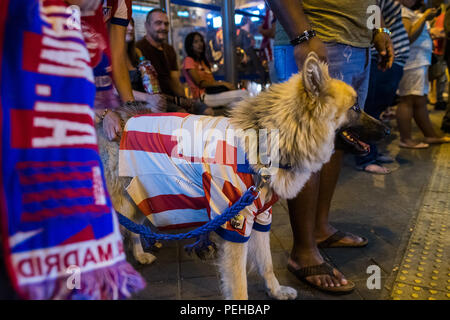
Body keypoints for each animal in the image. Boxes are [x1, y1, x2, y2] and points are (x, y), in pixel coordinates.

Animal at [96, 52, 388, 300]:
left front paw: (275, 290)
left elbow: (267, 264)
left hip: (139, 196)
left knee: (132, 229)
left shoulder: (260, 218)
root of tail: (116, 117)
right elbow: (238, 286)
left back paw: (140, 254)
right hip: (123, 202)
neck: (272, 140)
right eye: (355, 107)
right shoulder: (234, 227)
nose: (387, 131)